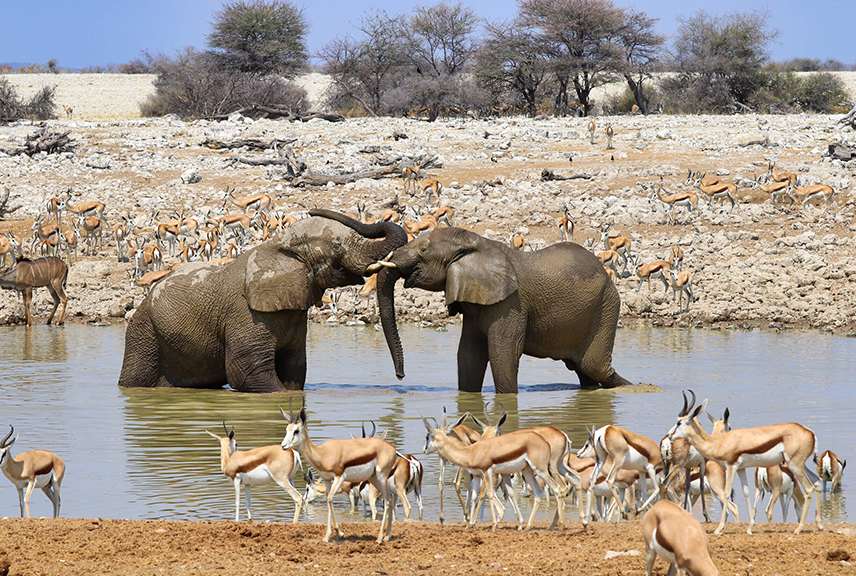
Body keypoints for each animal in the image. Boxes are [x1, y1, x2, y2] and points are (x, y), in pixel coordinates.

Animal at [118, 209, 407, 392]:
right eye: (336, 247)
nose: (400, 377)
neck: (279, 244)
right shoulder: (244, 313)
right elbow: (246, 374)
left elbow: (294, 370)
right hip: (143, 333)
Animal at [377, 227, 632, 393]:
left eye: (423, 250)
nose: (400, 376)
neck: (477, 244)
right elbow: (468, 354)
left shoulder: (511, 303)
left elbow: (503, 352)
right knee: (584, 370)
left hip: (606, 306)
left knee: (595, 367)